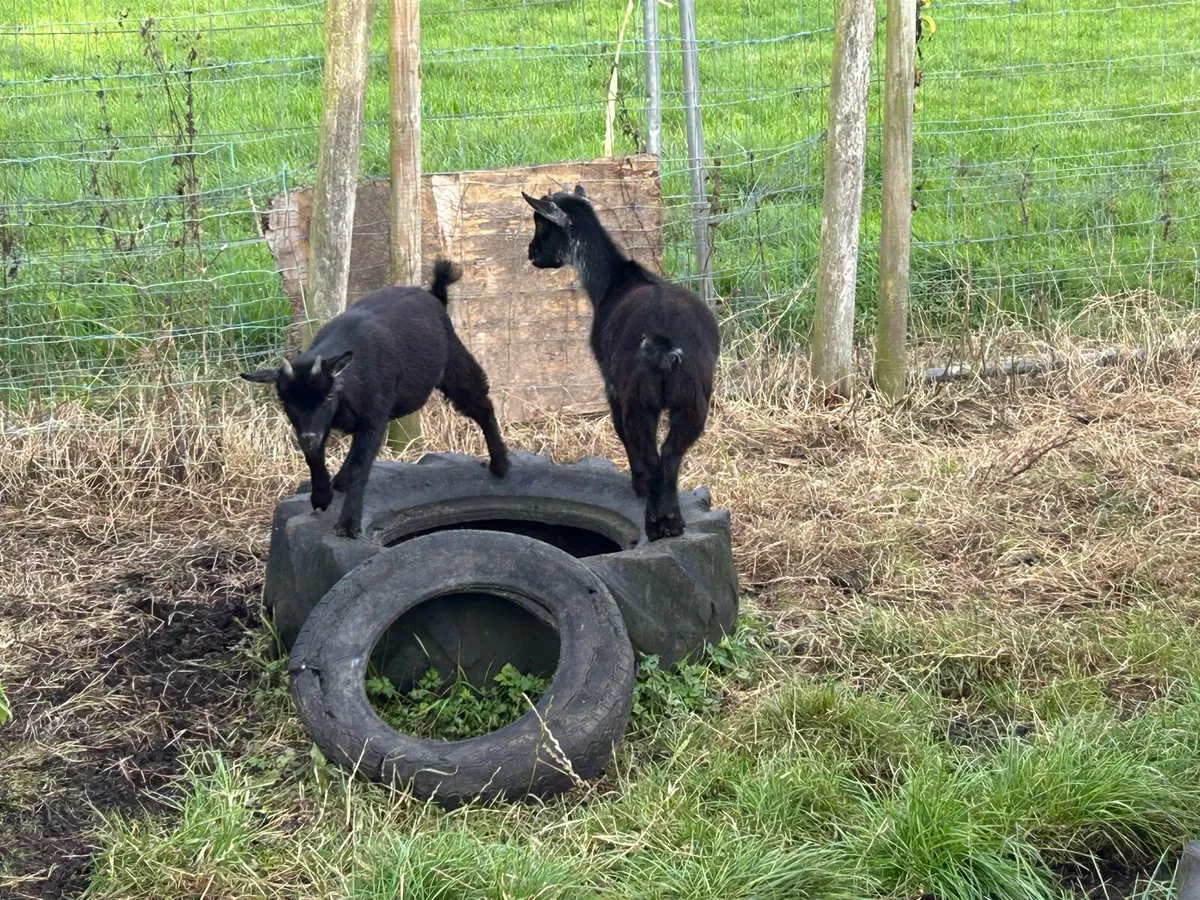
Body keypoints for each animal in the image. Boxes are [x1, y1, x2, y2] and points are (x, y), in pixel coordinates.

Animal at [241, 259, 509, 538]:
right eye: (285, 401)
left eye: (328, 395)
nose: (307, 438)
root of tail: (434, 295)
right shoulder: (323, 422)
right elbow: (316, 456)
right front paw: (321, 496)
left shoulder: (371, 417)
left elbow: (362, 464)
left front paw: (348, 524)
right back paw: (340, 480)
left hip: (455, 366)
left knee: (482, 404)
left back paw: (500, 463)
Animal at [523, 185, 719, 541]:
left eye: (542, 224)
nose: (532, 253)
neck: (614, 280)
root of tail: (662, 344)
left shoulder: (610, 384)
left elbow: (619, 431)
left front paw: (638, 487)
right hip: (693, 398)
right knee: (671, 454)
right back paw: (673, 521)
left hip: (636, 397)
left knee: (649, 452)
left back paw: (654, 522)